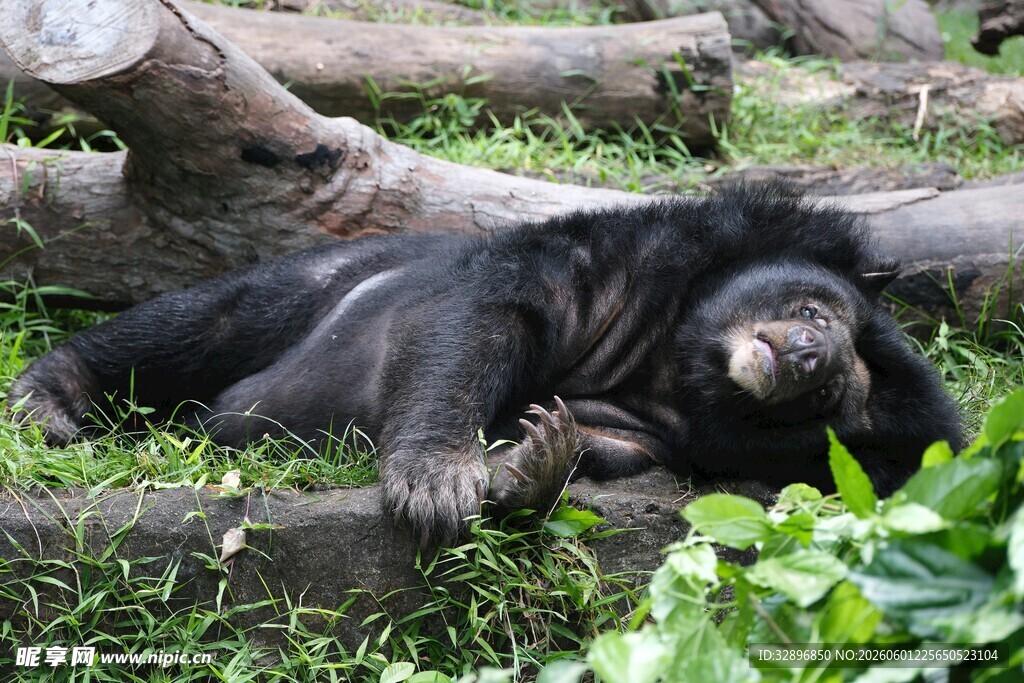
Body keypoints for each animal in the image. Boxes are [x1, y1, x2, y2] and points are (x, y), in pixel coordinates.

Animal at [9, 183, 964, 544]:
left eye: (833, 396)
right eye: (815, 313)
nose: (806, 356)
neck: (665, 359)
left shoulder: (662, 431)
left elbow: (603, 447)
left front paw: (535, 457)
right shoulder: (596, 266)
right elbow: (477, 323)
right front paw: (437, 483)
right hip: (325, 280)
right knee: (204, 320)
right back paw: (47, 400)